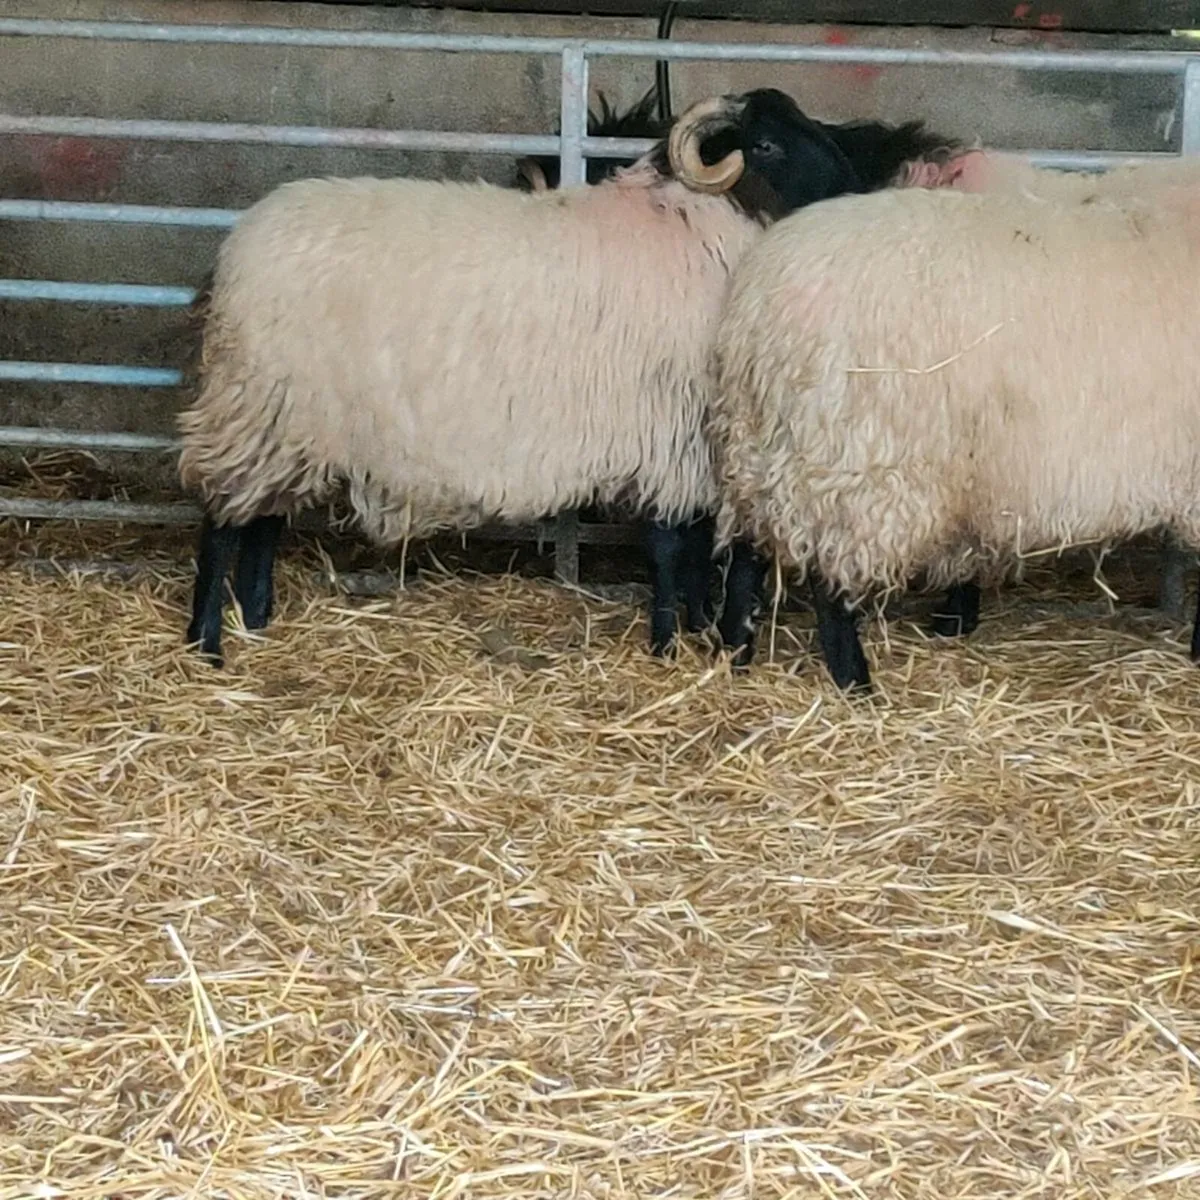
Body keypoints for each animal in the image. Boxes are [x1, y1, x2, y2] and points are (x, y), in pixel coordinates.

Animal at [180, 88, 958, 665]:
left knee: (262, 521)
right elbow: (671, 546)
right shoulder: (668, 429)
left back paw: (257, 617)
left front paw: (698, 627)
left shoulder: (694, 441)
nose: (858, 190)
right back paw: (208, 642)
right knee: (223, 520)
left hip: (287, 420)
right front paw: (670, 643)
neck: (703, 227)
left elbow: (695, 547)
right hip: (253, 404)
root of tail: (232, 255)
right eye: (764, 143)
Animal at [709, 171, 1200, 692]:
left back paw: (735, 655)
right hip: (855, 461)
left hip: (763, 449)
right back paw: (857, 686)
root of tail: (755, 307)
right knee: (831, 584)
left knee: (746, 554)